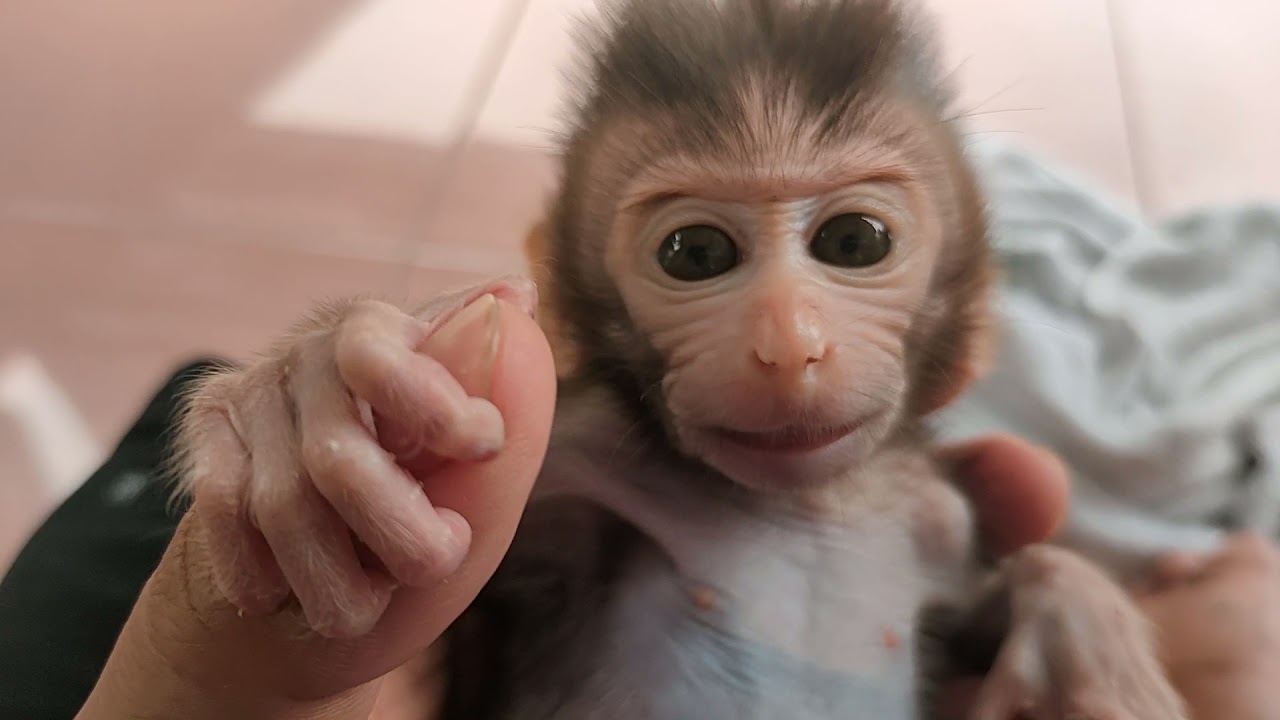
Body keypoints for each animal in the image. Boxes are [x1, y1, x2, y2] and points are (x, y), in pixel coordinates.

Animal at [173, 0, 1189, 718]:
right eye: (696, 253)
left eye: (854, 242)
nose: (789, 344)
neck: (797, 510)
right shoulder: (568, 473)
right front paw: (302, 412)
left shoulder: (938, 516)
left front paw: (1089, 632)